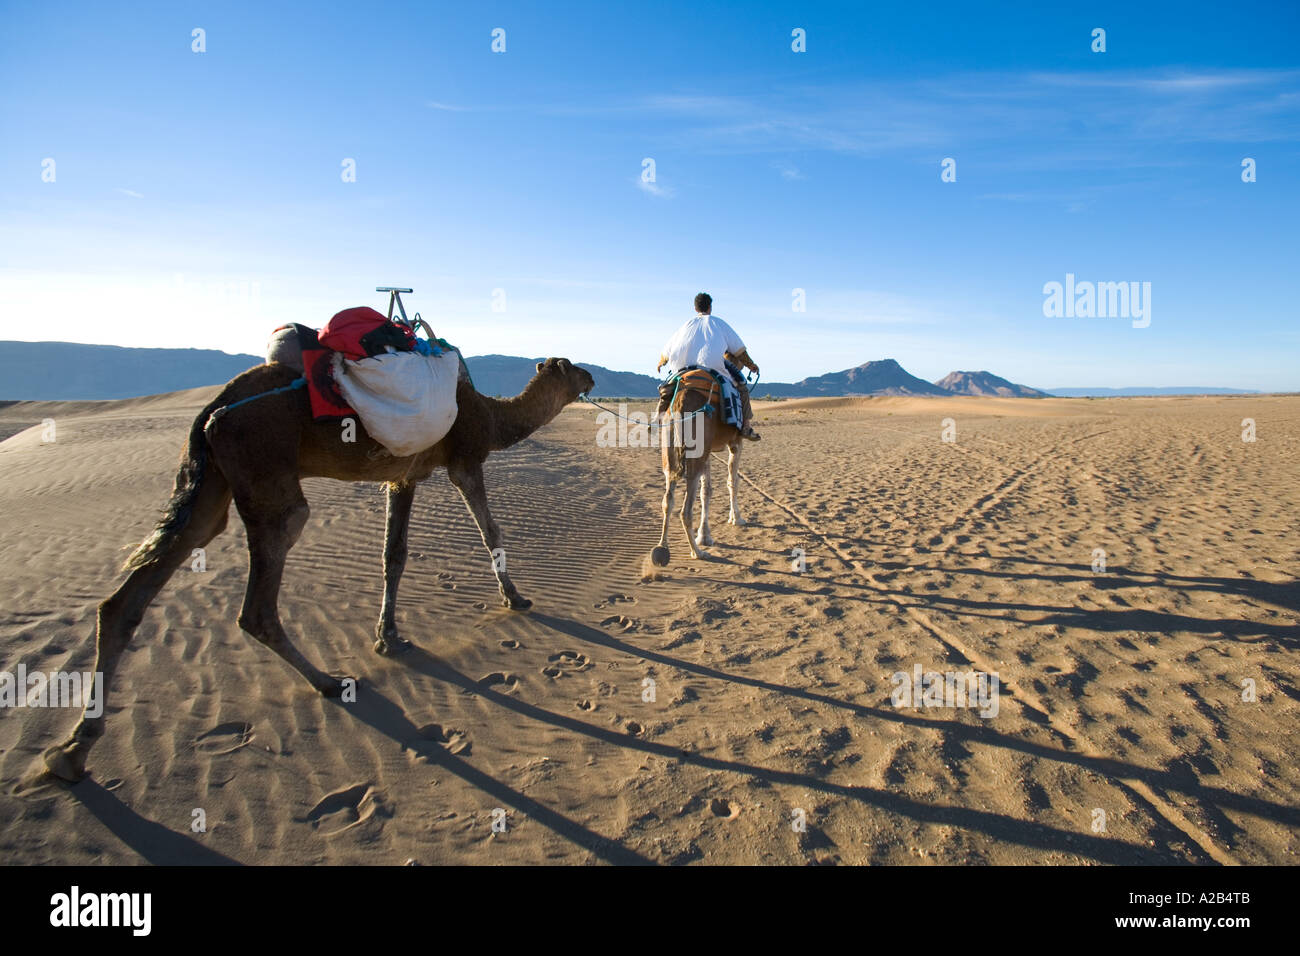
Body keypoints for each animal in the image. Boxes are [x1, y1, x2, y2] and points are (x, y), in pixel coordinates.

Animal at [42, 356, 595, 782]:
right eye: (570, 366)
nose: (591, 376)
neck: (491, 415)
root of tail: (213, 411)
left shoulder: (403, 475)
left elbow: (394, 554)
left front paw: (389, 637)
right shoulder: (463, 458)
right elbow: (489, 532)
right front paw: (516, 598)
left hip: (211, 487)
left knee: (130, 597)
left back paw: (72, 751)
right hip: (266, 479)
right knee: (257, 602)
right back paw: (328, 682)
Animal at [650, 370, 745, 566]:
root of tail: (680, 400)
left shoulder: (707, 452)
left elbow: (706, 490)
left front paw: (705, 535)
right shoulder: (736, 442)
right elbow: (733, 481)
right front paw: (736, 518)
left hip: (672, 451)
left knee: (667, 500)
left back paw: (661, 549)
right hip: (695, 454)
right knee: (685, 510)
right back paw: (698, 553)